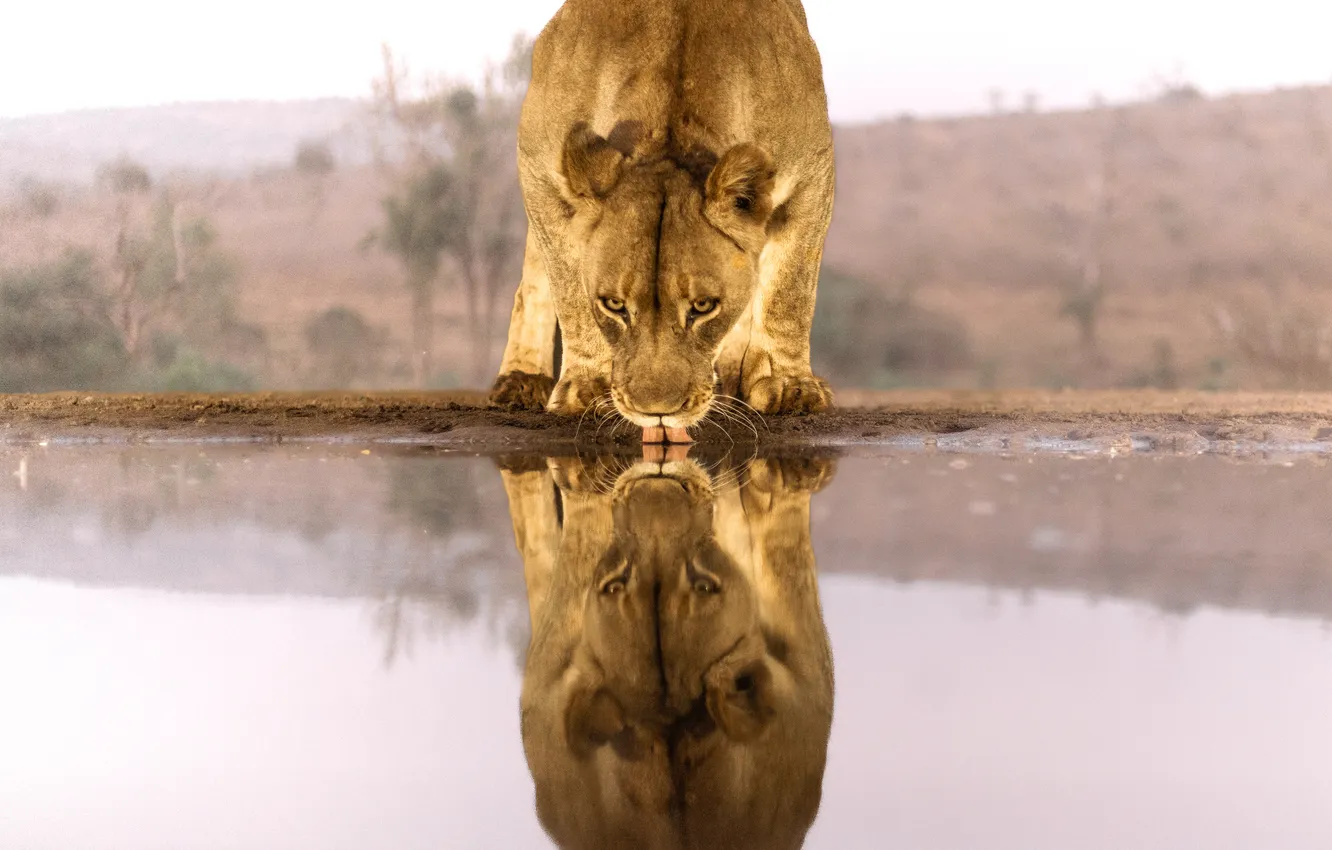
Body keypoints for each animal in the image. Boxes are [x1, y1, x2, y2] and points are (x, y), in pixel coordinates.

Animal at [489, 0, 836, 437]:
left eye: (703, 306)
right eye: (614, 305)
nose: (656, 411)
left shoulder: (812, 173)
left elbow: (790, 292)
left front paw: (789, 386)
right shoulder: (538, 167)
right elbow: (569, 294)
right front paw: (588, 386)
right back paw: (521, 379)